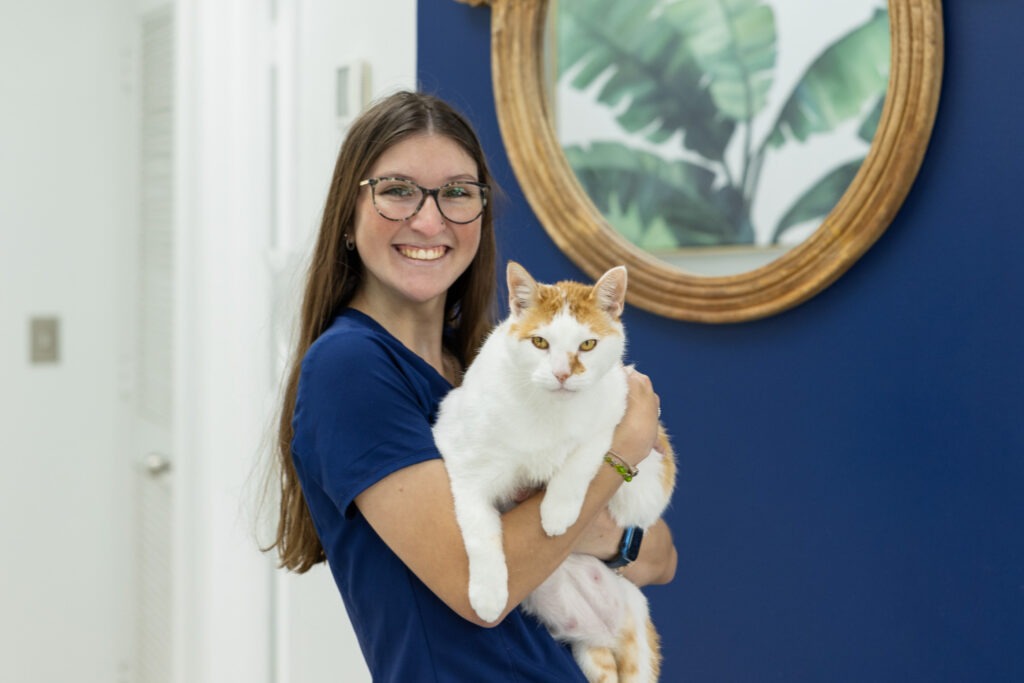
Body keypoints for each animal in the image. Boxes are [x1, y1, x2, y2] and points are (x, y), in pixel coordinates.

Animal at [434, 262, 679, 683]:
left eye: (588, 345)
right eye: (539, 342)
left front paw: (557, 512)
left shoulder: (617, 405)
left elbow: (583, 458)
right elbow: (479, 530)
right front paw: (488, 594)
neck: (547, 409)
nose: (564, 374)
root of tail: (603, 632)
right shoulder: (460, 452)